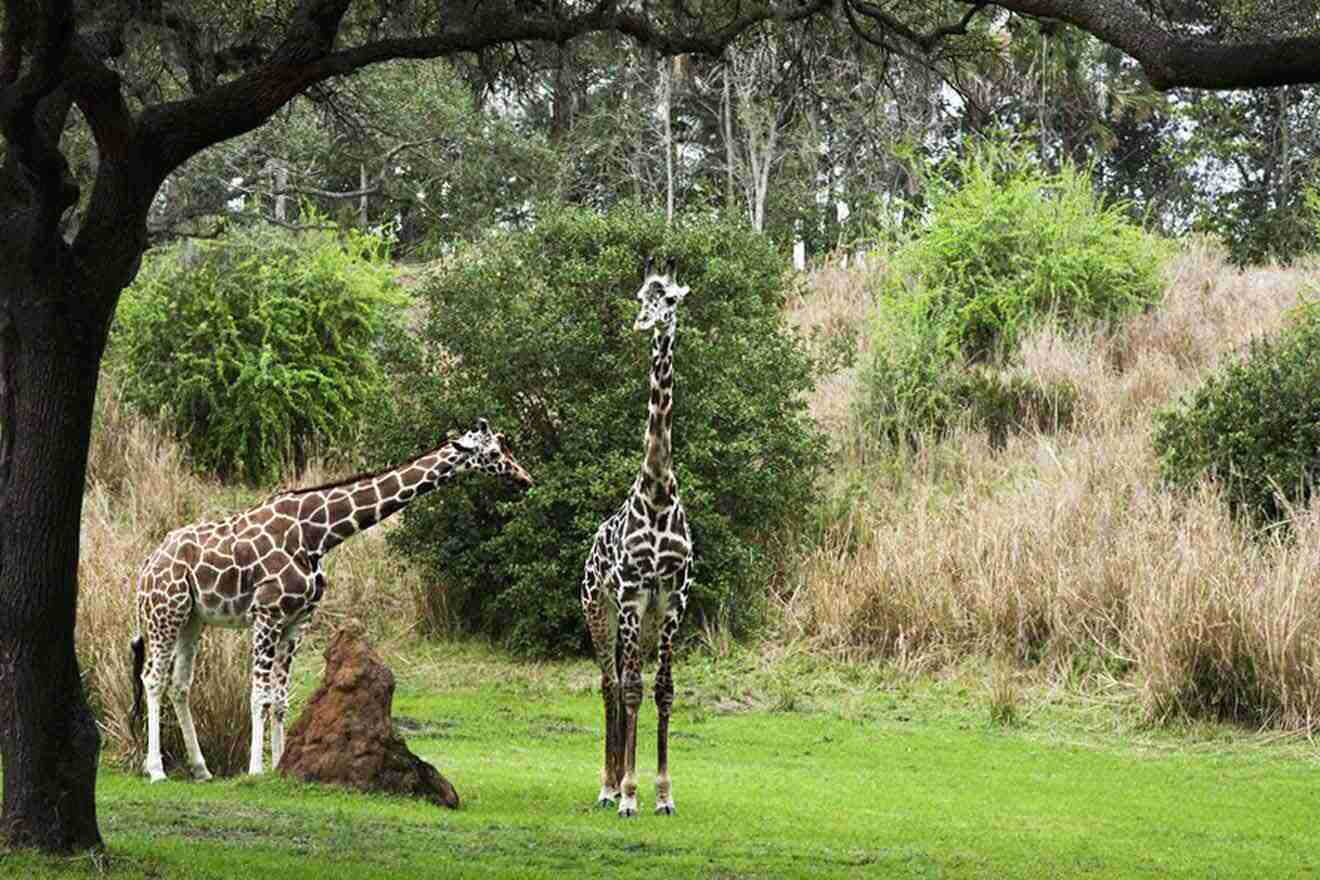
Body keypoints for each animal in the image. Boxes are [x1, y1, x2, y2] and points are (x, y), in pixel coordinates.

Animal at [128, 419, 530, 786]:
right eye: (493, 454)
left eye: (506, 447)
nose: (525, 479)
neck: (317, 534)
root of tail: (147, 564)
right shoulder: (266, 614)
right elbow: (259, 695)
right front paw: (255, 770)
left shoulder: (297, 621)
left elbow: (280, 699)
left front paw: (280, 767)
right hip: (164, 613)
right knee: (153, 679)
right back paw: (156, 771)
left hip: (192, 619)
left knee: (180, 684)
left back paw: (201, 769)